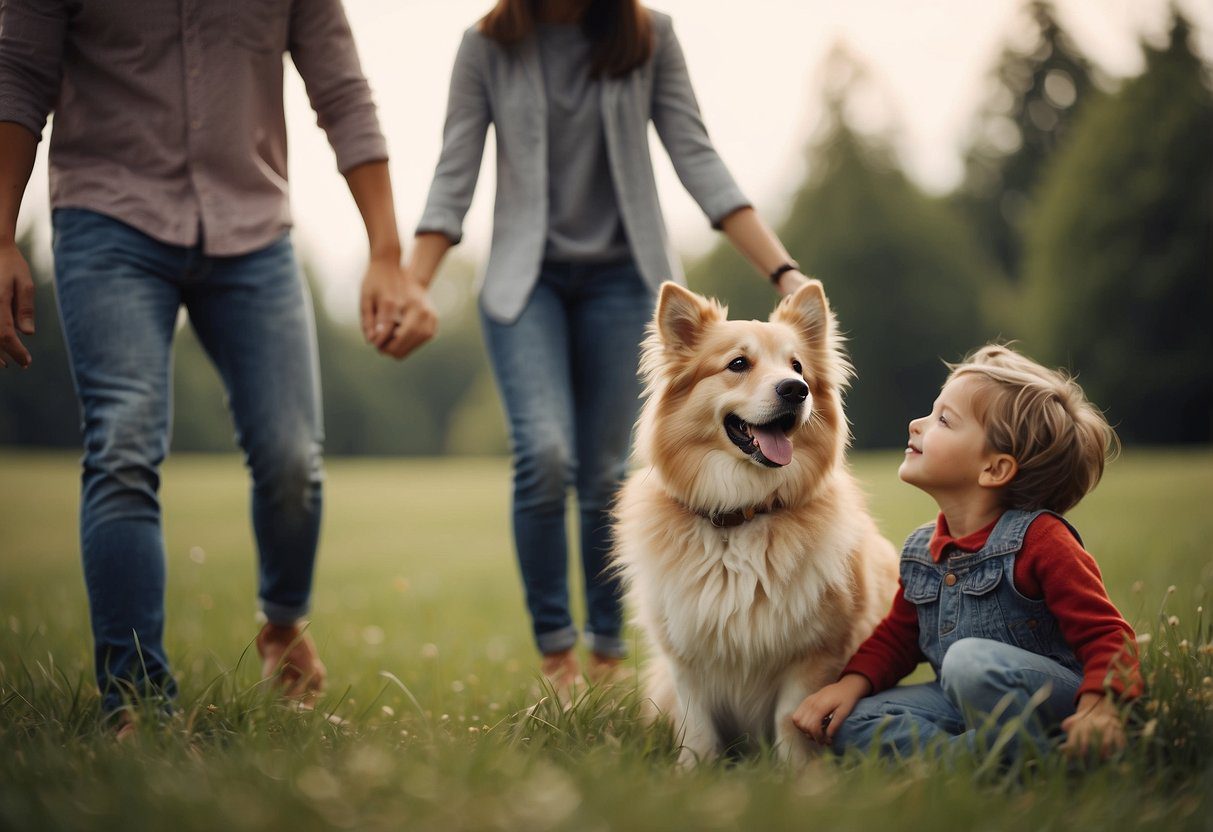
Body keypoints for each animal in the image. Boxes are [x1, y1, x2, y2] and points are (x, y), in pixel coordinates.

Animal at [611, 283, 897, 766]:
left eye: (797, 366)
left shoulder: (812, 656)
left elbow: (791, 724)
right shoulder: (685, 659)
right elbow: (698, 731)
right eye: (738, 364)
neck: (741, 516)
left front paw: (803, 779)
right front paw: (694, 775)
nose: (796, 390)